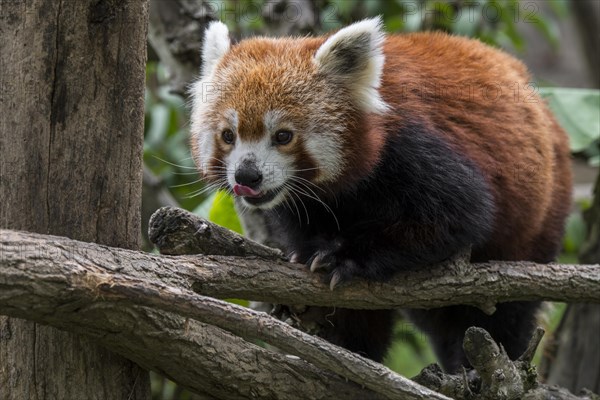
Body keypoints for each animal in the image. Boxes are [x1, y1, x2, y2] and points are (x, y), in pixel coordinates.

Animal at [190, 15, 576, 372]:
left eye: (283, 136)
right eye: (229, 135)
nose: (247, 176)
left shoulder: (409, 147)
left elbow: (461, 216)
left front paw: (343, 257)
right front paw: (313, 278)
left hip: (538, 220)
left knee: (501, 319)